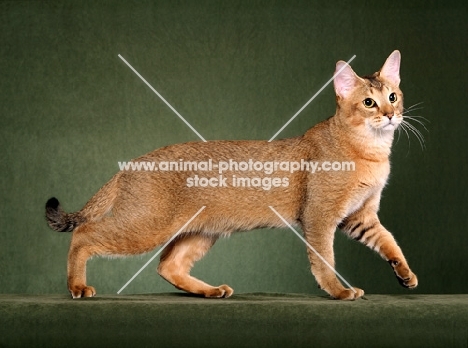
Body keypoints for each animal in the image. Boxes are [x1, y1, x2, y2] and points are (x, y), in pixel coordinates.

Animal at [44, 50, 416, 300]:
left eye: (393, 96)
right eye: (369, 103)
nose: (391, 115)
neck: (370, 152)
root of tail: (131, 165)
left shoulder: (360, 216)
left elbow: (389, 241)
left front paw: (406, 274)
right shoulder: (320, 217)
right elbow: (325, 260)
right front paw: (339, 292)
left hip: (199, 231)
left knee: (168, 265)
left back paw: (210, 291)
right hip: (146, 225)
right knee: (84, 235)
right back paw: (77, 286)